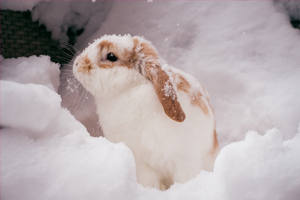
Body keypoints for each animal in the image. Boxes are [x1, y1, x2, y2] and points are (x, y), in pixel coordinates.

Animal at [72, 34, 218, 191]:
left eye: (111, 56)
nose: (76, 64)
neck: (130, 88)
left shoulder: (185, 160)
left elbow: (184, 178)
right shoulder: (141, 163)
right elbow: (150, 182)